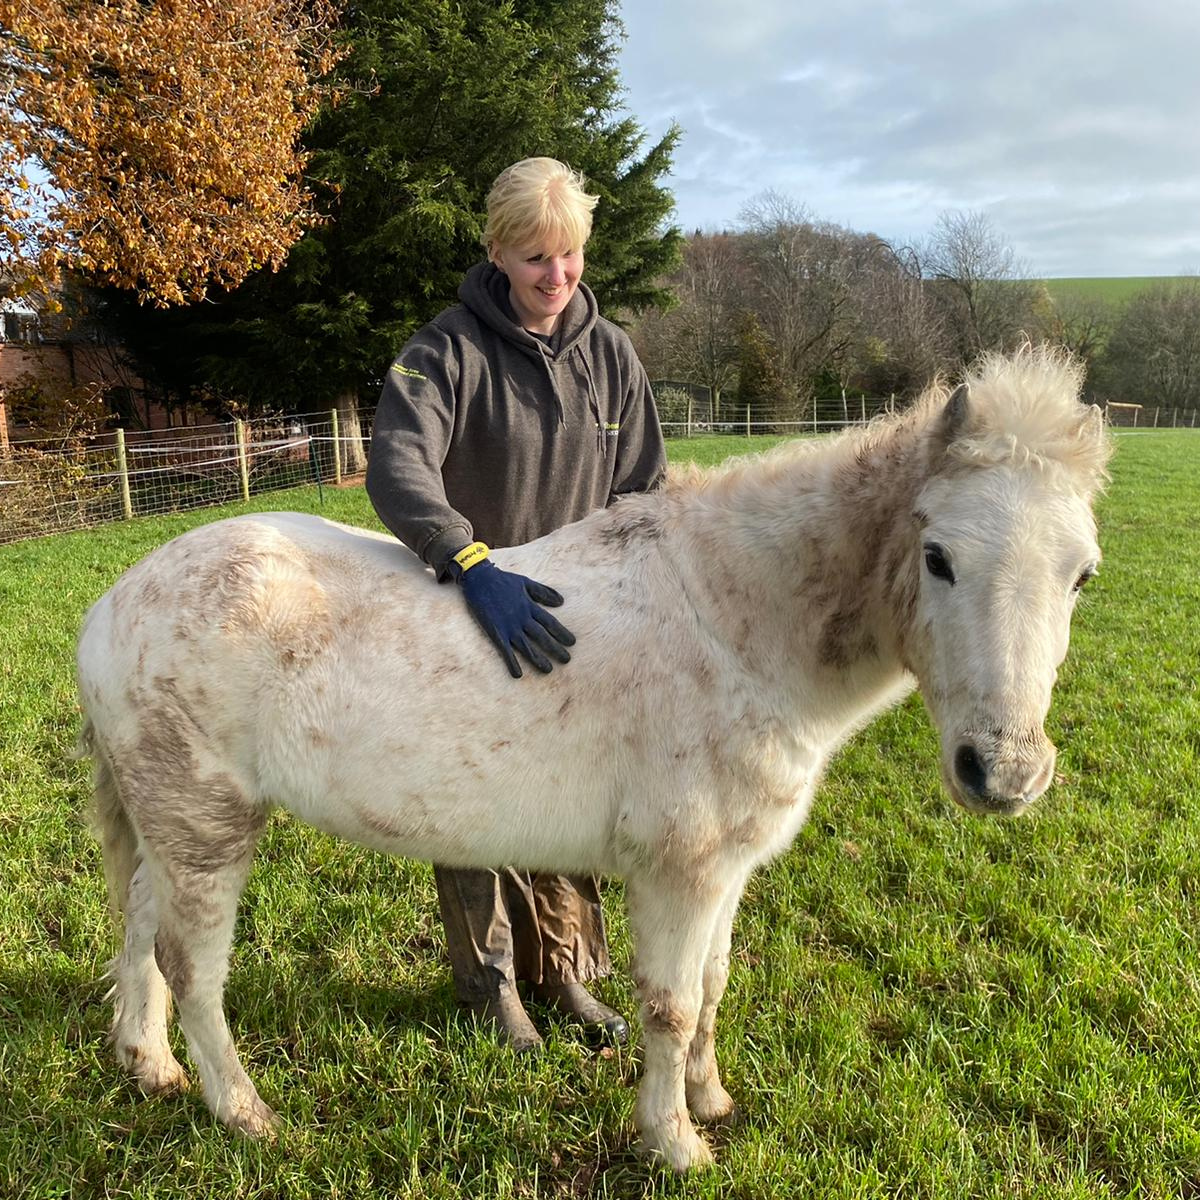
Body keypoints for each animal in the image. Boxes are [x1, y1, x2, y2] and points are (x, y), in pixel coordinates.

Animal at [72, 348, 1104, 1171]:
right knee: (189, 965)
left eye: (1082, 574)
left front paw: (710, 1101)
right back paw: (244, 1112)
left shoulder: (724, 874)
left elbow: (713, 988)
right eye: (938, 557)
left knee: (141, 931)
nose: (1003, 773)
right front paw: (674, 1142)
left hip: (168, 827)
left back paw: (149, 1066)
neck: (735, 619)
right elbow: (671, 1006)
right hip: (209, 828)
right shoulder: (679, 875)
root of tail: (112, 607)